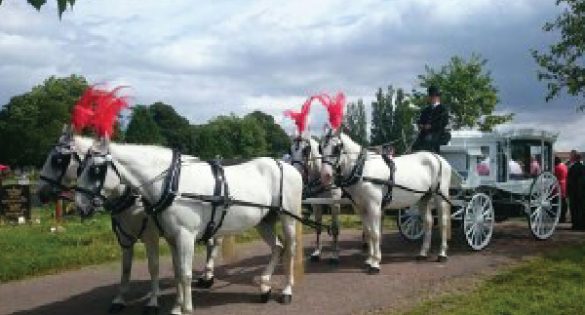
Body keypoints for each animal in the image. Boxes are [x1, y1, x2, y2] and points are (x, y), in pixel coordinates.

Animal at [73, 138, 302, 315]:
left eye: (95, 169)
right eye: (80, 167)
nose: (80, 206)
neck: (172, 183)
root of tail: (288, 166)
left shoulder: (185, 236)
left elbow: (185, 274)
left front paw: (187, 309)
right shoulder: (172, 237)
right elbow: (176, 273)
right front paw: (177, 307)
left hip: (288, 218)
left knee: (290, 249)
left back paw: (287, 291)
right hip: (264, 221)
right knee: (277, 247)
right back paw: (264, 286)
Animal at [288, 136, 342, 264]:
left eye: (306, 150)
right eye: (290, 150)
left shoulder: (335, 205)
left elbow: (335, 228)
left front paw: (334, 255)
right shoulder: (317, 204)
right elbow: (318, 227)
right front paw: (317, 252)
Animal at [320, 130, 452, 272]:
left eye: (337, 148)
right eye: (321, 148)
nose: (325, 176)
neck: (363, 169)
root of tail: (437, 157)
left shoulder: (374, 207)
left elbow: (375, 233)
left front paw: (375, 263)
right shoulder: (361, 208)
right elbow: (368, 233)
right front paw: (369, 260)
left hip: (440, 196)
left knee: (443, 223)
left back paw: (442, 254)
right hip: (423, 198)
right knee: (428, 222)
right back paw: (423, 253)